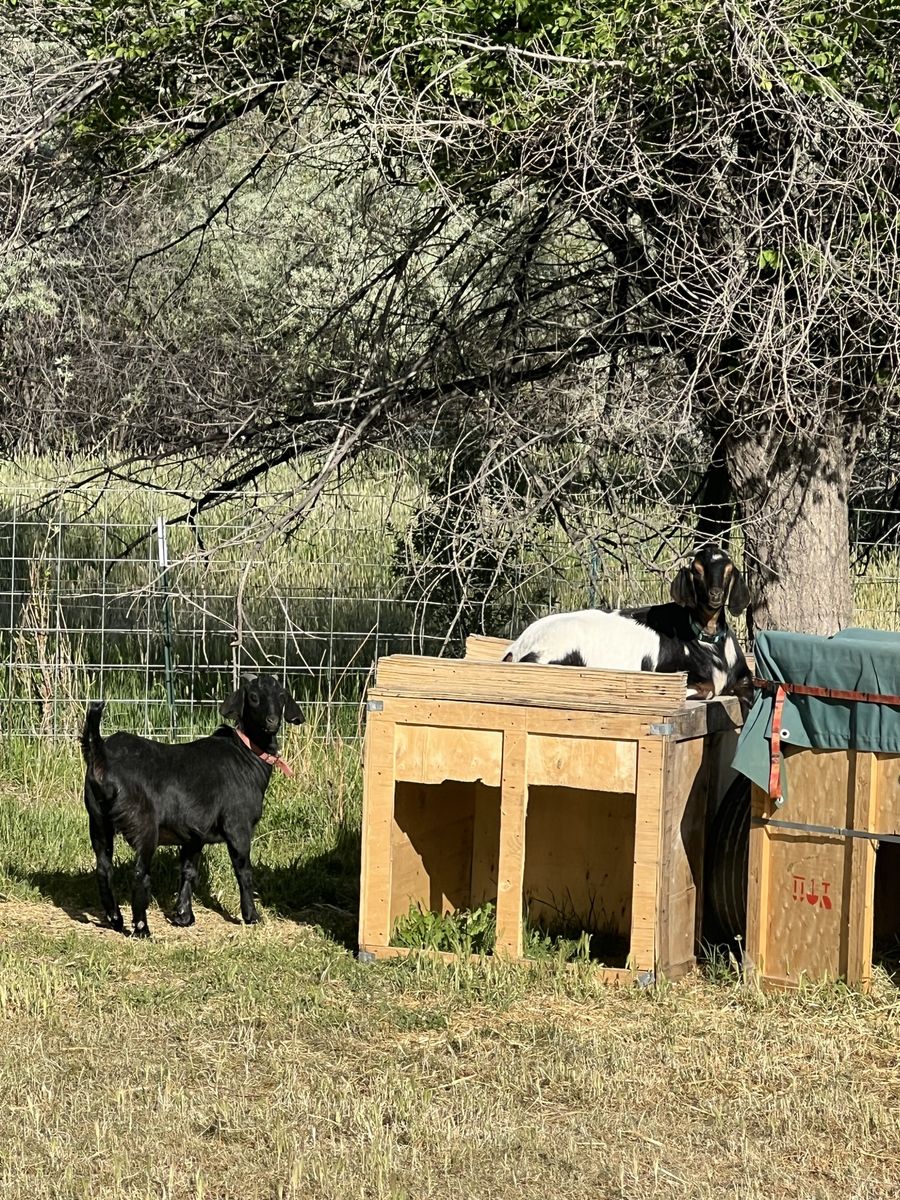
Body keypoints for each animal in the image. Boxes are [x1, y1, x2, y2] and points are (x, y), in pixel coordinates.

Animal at [80, 674, 304, 937]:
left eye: (282, 696)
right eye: (253, 697)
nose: (272, 721)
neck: (246, 755)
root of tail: (101, 755)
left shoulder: (194, 833)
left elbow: (188, 871)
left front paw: (183, 916)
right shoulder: (237, 825)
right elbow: (243, 870)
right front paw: (251, 916)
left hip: (98, 819)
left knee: (104, 868)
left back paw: (116, 919)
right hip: (144, 824)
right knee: (140, 873)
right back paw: (142, 928)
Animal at [503, 544, 753, 713]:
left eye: (729, 571)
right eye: (697, 571)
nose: (715, 595)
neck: (708, 641)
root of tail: (517, 646)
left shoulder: (744, 676)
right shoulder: (671, 669)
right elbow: (708, 688)